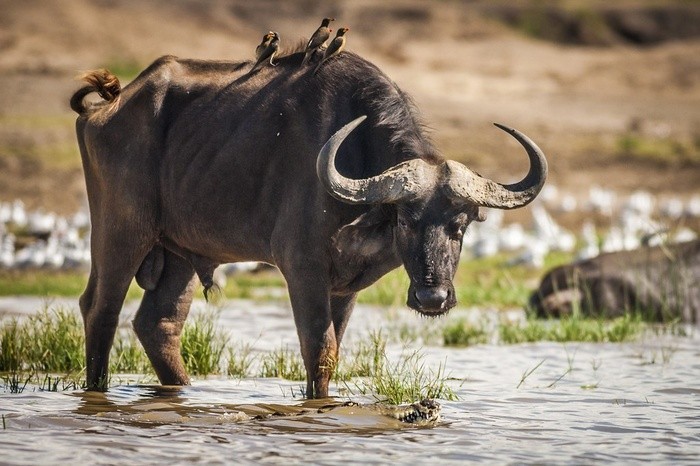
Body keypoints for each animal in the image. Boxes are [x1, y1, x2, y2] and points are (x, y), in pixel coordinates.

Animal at [72, 46, 552, 396]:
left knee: (159, 324)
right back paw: (97, 392)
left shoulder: (345, 287)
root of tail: (105, 108)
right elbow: (319, 350)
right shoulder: (302, 269)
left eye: (460, 225)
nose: (432, 297)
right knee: (101, 309)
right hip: (120, 232)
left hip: (180, 252)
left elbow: (334, 349)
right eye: (406, 221)